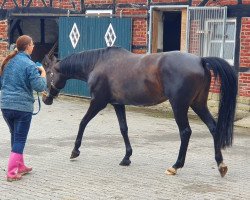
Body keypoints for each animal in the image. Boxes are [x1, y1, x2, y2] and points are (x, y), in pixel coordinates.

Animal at [42, 46, 237, 177]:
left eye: (48, 72)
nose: (45, 99)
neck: (97, 64)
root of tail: (200, 60)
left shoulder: (98, 102)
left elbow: (83, 122)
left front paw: (75, 150)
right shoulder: (118, 104)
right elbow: (124, 129)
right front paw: (126, 157)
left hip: (179, 106)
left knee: (185, 132)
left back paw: (175, 166)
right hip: (198, 104)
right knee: (214, 128)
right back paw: (221, 165)